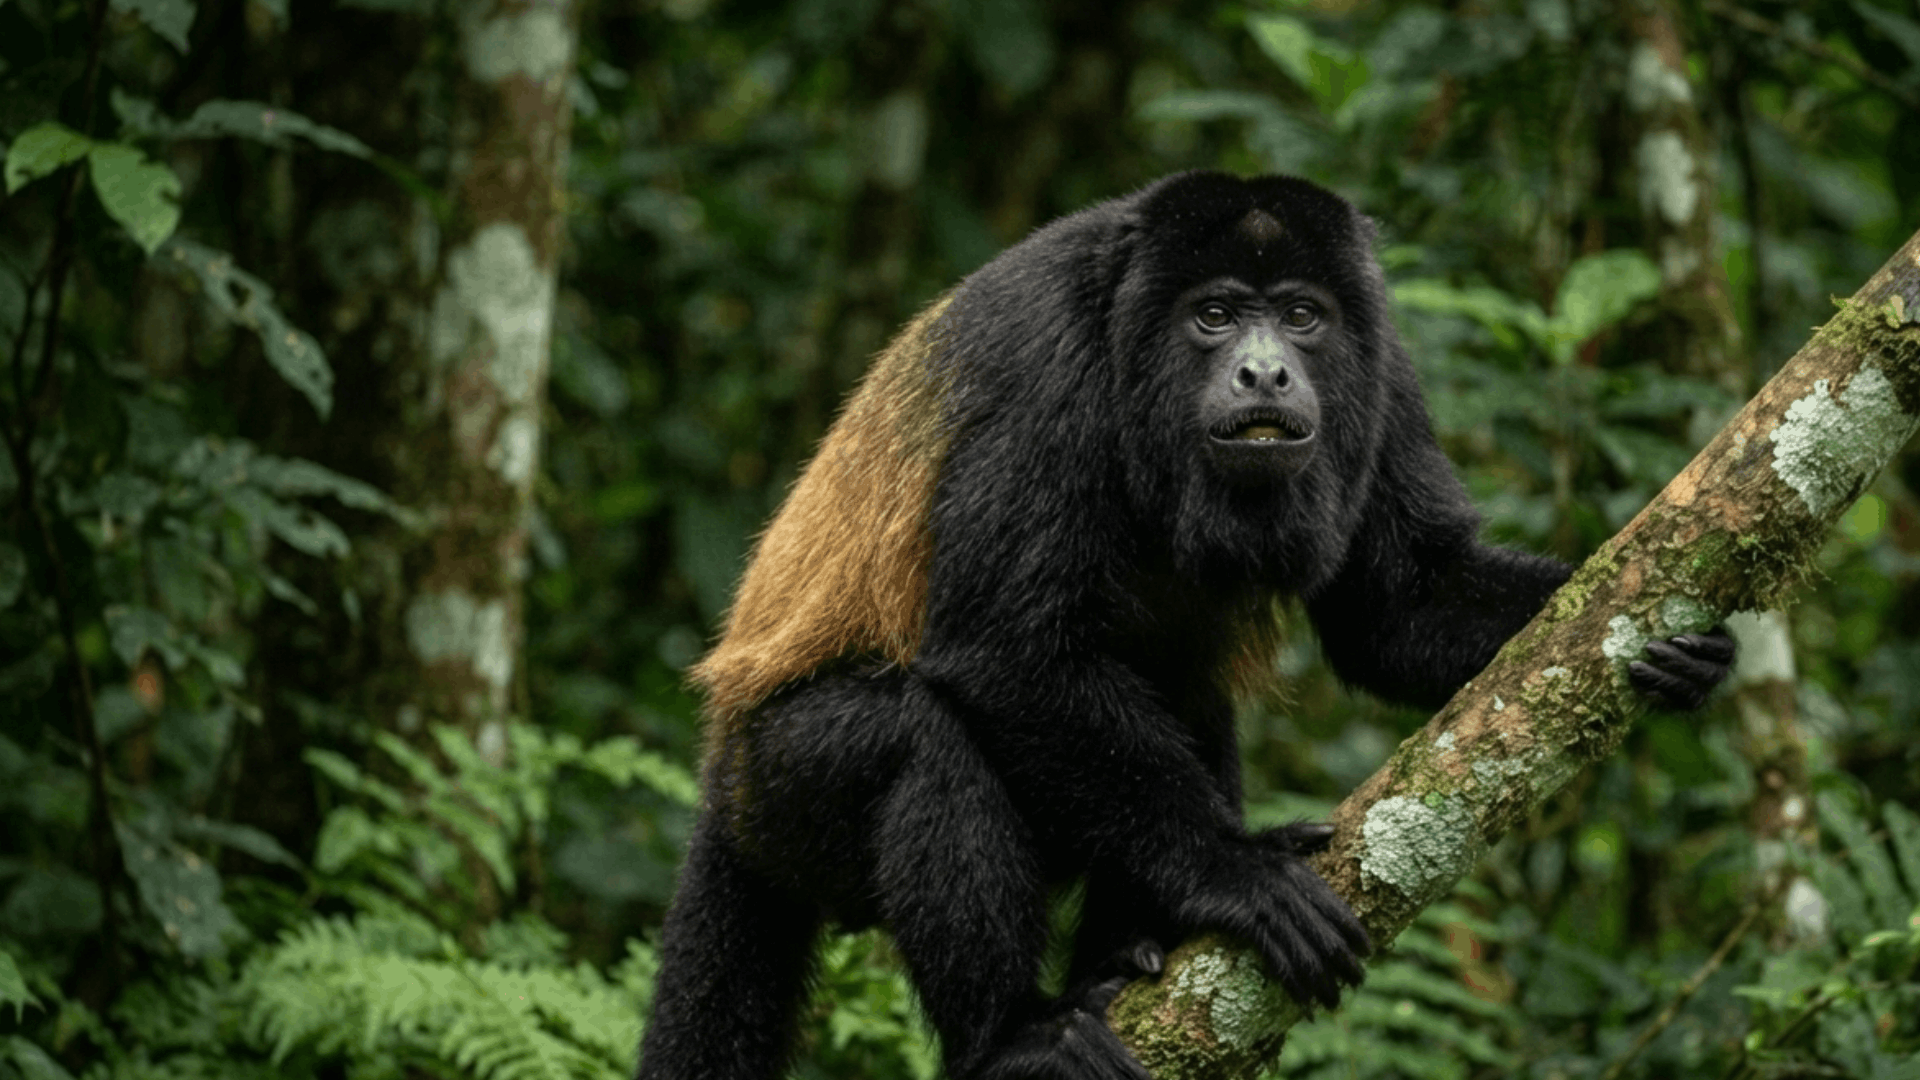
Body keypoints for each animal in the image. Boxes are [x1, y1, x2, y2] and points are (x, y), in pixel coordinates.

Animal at [633, 171, 1735, 1080]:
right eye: (1213, 317)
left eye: (1301, 317)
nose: (1264, 373)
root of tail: (721, 778)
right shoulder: (1053, 371)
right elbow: (1005, 649)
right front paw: (1233, 874)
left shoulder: (1384, 370)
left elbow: (1398, 605)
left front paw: (1680, 650)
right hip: (779, 791)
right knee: (917, 739)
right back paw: (1013, 1036)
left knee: (1188, 703)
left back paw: (1124, 954)